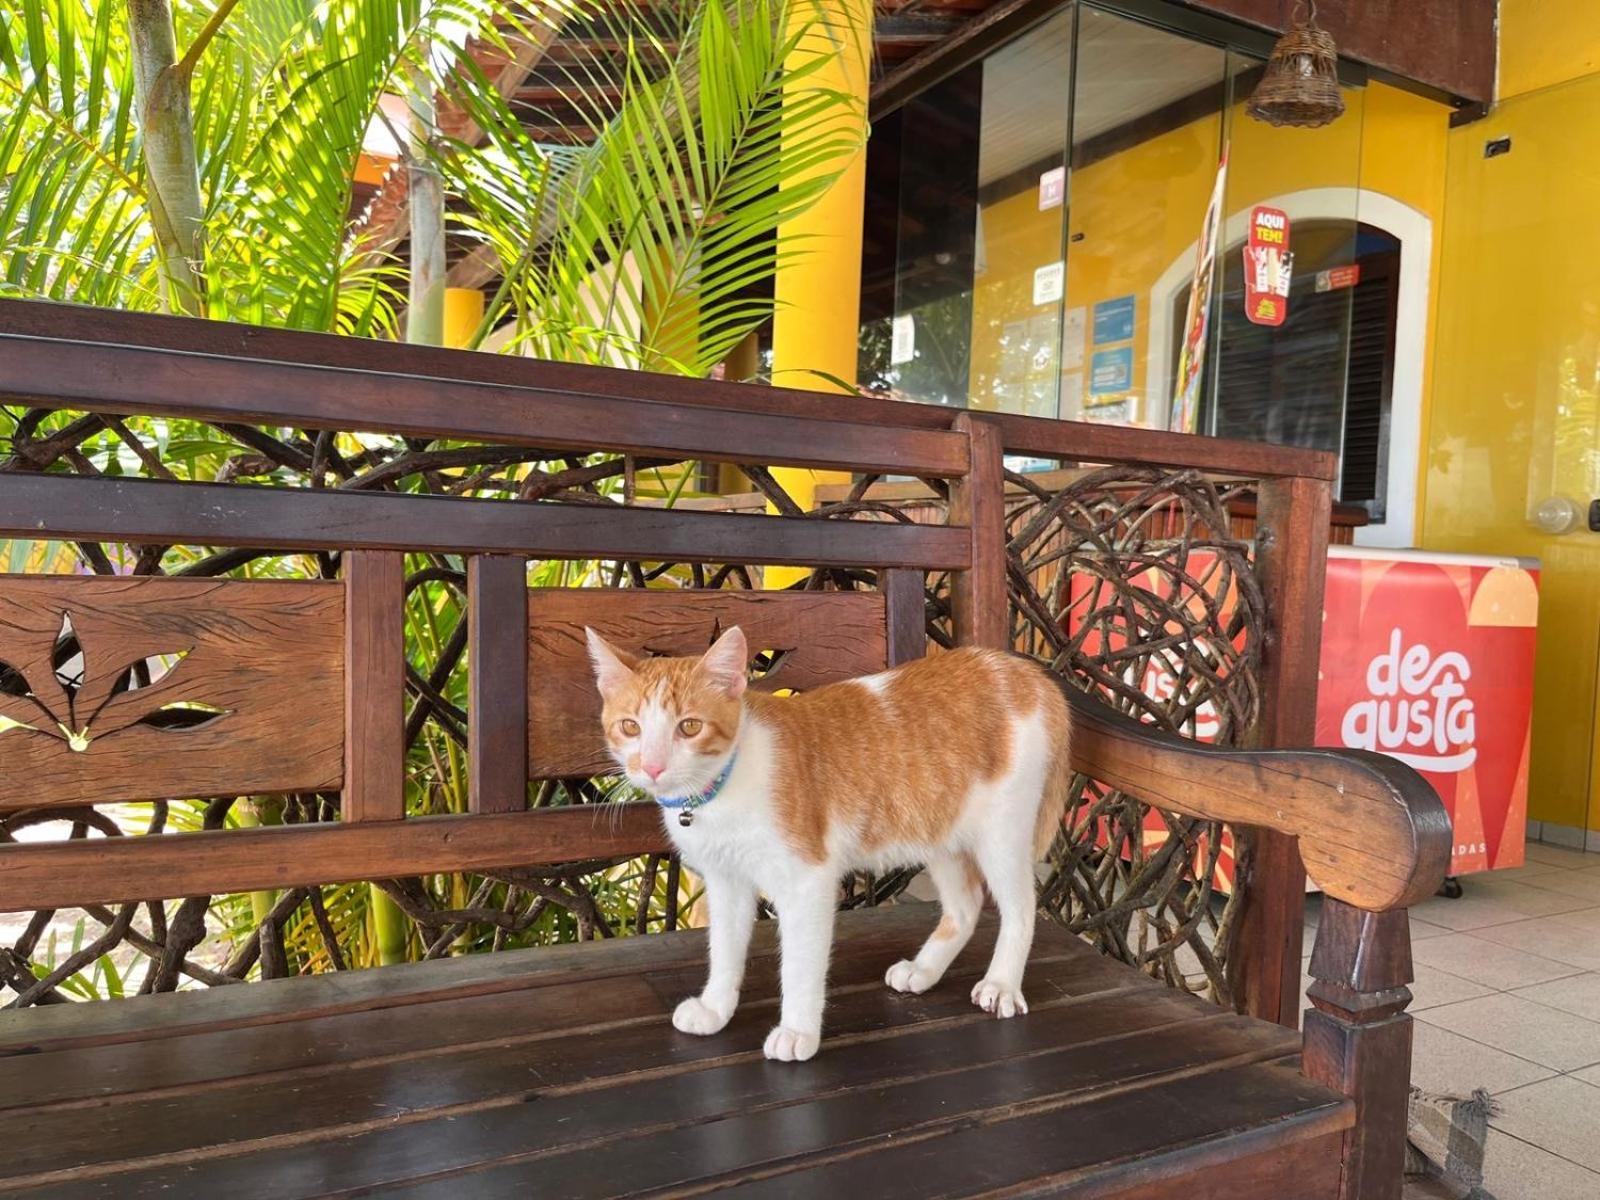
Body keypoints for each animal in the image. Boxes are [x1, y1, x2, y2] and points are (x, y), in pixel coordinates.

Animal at [582, 624, 1068, 1068]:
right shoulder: (726, 883)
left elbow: (799, 964)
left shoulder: (807, 881)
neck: (722, 786)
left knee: (1022, 906)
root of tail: (1022, 672)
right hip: (937, 826)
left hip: (1002, 830)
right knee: (965, 906)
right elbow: (724, 948)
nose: (652, 766)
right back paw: (924, 970)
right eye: (630, 727)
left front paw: (797, 1031)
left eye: (689, 727)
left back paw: (1002, 983)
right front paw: (716, 1008)